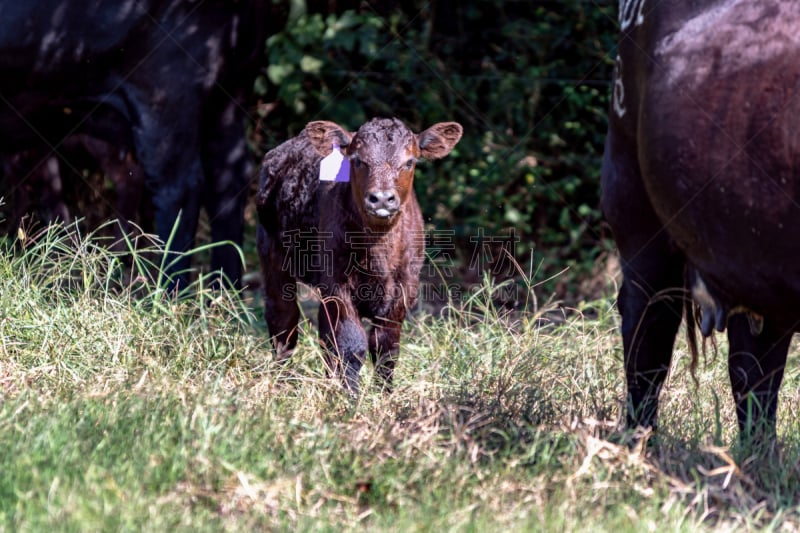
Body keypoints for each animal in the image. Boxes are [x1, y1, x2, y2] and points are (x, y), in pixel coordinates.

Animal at [0, 1, 284, 286]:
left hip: (167, 95)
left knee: (177, 189)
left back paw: (165, 289)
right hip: (230, 94)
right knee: (227, 178)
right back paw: (223, 290)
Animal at [256, 117, 462, 390]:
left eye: (410, 161)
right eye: (358, 160)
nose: (382, 198)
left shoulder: (405, 288)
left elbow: (385, 347)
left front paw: (384, 394)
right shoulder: (337, 284)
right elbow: (350, 344)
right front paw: (349, 395)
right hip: (272, 254)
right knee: (283, 319)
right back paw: (282, 382)